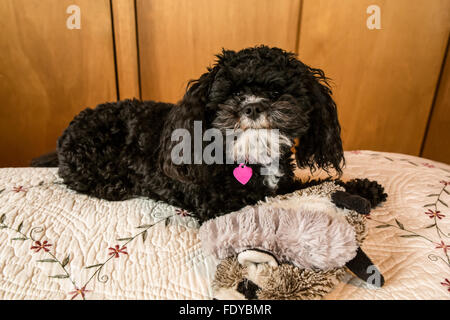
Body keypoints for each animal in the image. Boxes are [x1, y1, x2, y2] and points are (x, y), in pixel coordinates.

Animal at [35, 46, 386, 224]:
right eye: (232, 92)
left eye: (276, 91)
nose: (253, 106)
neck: (253, 159)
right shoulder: (220, 205)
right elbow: (296, 193)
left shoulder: (281, 182)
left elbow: (310, 185)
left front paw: (363, 188)